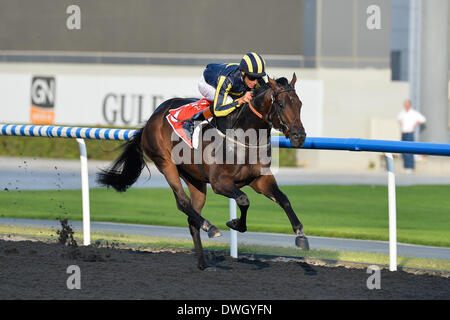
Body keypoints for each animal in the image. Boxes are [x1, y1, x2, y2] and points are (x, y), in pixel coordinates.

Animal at [97, 74, 310, 268]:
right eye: (281, 104)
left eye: (300, 104)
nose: (299, 136)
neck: (244, 136)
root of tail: (151, 119)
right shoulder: (219, 182)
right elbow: (243, 199)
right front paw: (235, 223)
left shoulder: (259, 179)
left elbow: (283, 199)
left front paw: (301, 235)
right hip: (166, 163)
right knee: (183, 203)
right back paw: (210, 227)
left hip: (195, 178)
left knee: (192, 218)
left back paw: (202, 263)